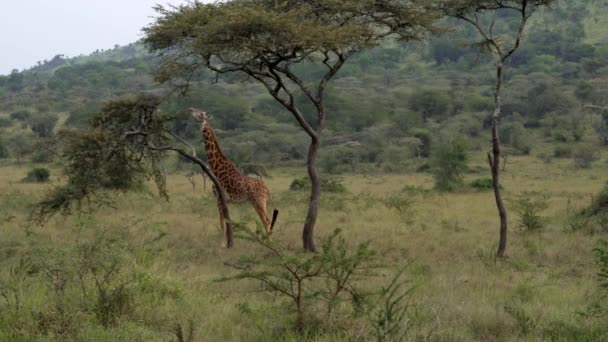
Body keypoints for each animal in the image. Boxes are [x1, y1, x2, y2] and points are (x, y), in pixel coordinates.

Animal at [190, 108, 278, 244]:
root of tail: (266, 188)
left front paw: (222, 244)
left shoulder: (219, 199)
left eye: (200, 113)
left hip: (258, 200)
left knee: (266, 220)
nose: (190, 109)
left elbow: (222, 223)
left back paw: (269, 242)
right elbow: (227, 223)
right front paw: (228, 243)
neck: (217, 169)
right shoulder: (224, 201)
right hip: (259, 201)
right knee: (266, 219)